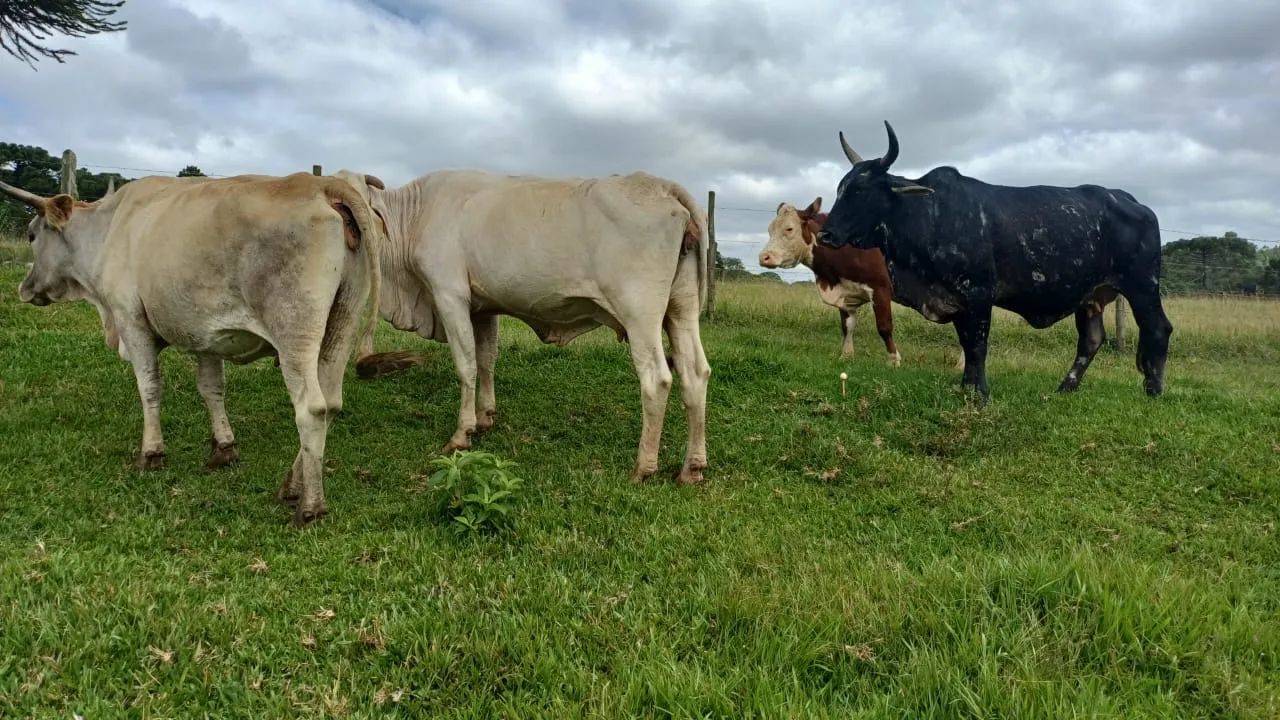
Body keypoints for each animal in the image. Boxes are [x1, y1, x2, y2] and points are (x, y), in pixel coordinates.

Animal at [3, 172, 382, 526]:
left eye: (32, 235)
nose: (25, 288)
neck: (109, 227)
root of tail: (322, 184)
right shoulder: (207, 335)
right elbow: (211, 389)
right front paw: (223, 448)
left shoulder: (130, 320)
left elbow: (149, 387)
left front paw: (152, 453)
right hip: (342, 323)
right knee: (331, 403)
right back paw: (291, 485)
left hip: (294, 330)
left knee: (312, 409)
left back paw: (310, 505)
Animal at [340, 169, 712, 485]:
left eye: (347, 212)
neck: (415, 215)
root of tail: (662, 185)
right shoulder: (483, 308)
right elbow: (487, 360)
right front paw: (485, 418)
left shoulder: (450, 295)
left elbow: (466, 365)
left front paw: (462, 434)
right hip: (682, 309)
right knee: (695, 373)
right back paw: (691, 468)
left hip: (640, 313)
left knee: (657, 379)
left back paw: (643, 467)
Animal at [759, 197, 900, 365]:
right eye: (769, 230)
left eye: (789, 229)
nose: (764, 257)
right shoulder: (845, 292)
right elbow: (847, 326)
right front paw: (846, 355)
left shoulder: (880, 288)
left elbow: (884, 326)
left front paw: (893, 359)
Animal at [816, 122, 1172, 400]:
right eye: (840, 189)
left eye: (861, 191)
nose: (826, 234)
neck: (928, 215)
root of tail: (1132, 201)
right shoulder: (955, 299)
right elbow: (966, 343)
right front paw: (965, 387)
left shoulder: (978, 294)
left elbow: (977, 345)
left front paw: (980, 393)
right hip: (1091, 296)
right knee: (1091, 340)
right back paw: (1064, 388)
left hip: (1142, 286)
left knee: (1157, 328)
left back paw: (1153, 389)